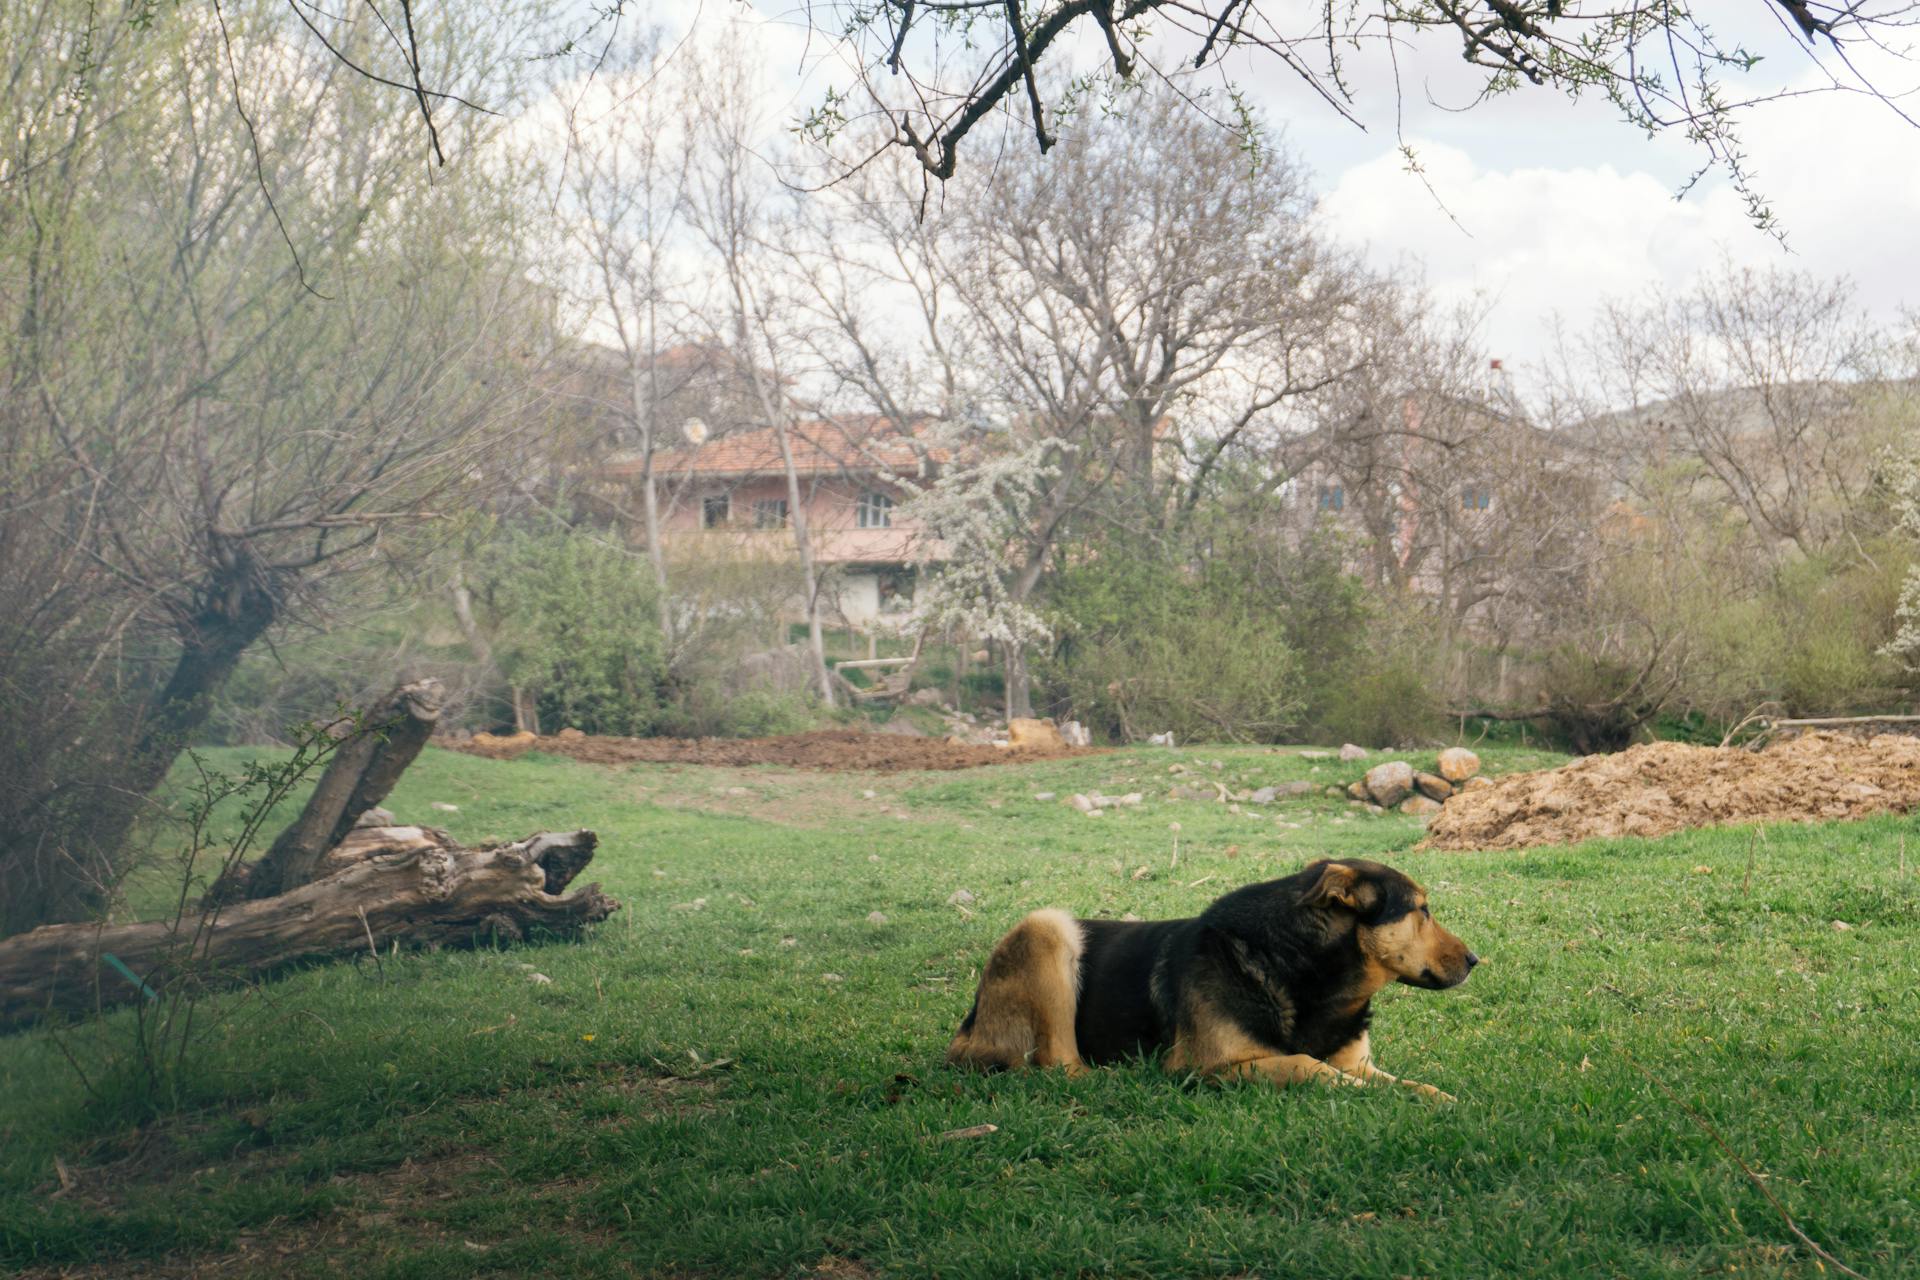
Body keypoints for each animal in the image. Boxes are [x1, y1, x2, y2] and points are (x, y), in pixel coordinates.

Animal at [944, 859, 1466, 1105]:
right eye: (1422, 910)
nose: (1475, 960)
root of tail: (967, 1030)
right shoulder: (1206, 1067)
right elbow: (1307, 1065)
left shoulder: (1359, 1064)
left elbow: (1406, 1084)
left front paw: (1435, 1098)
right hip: (1045, 927)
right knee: (1058, 1066)